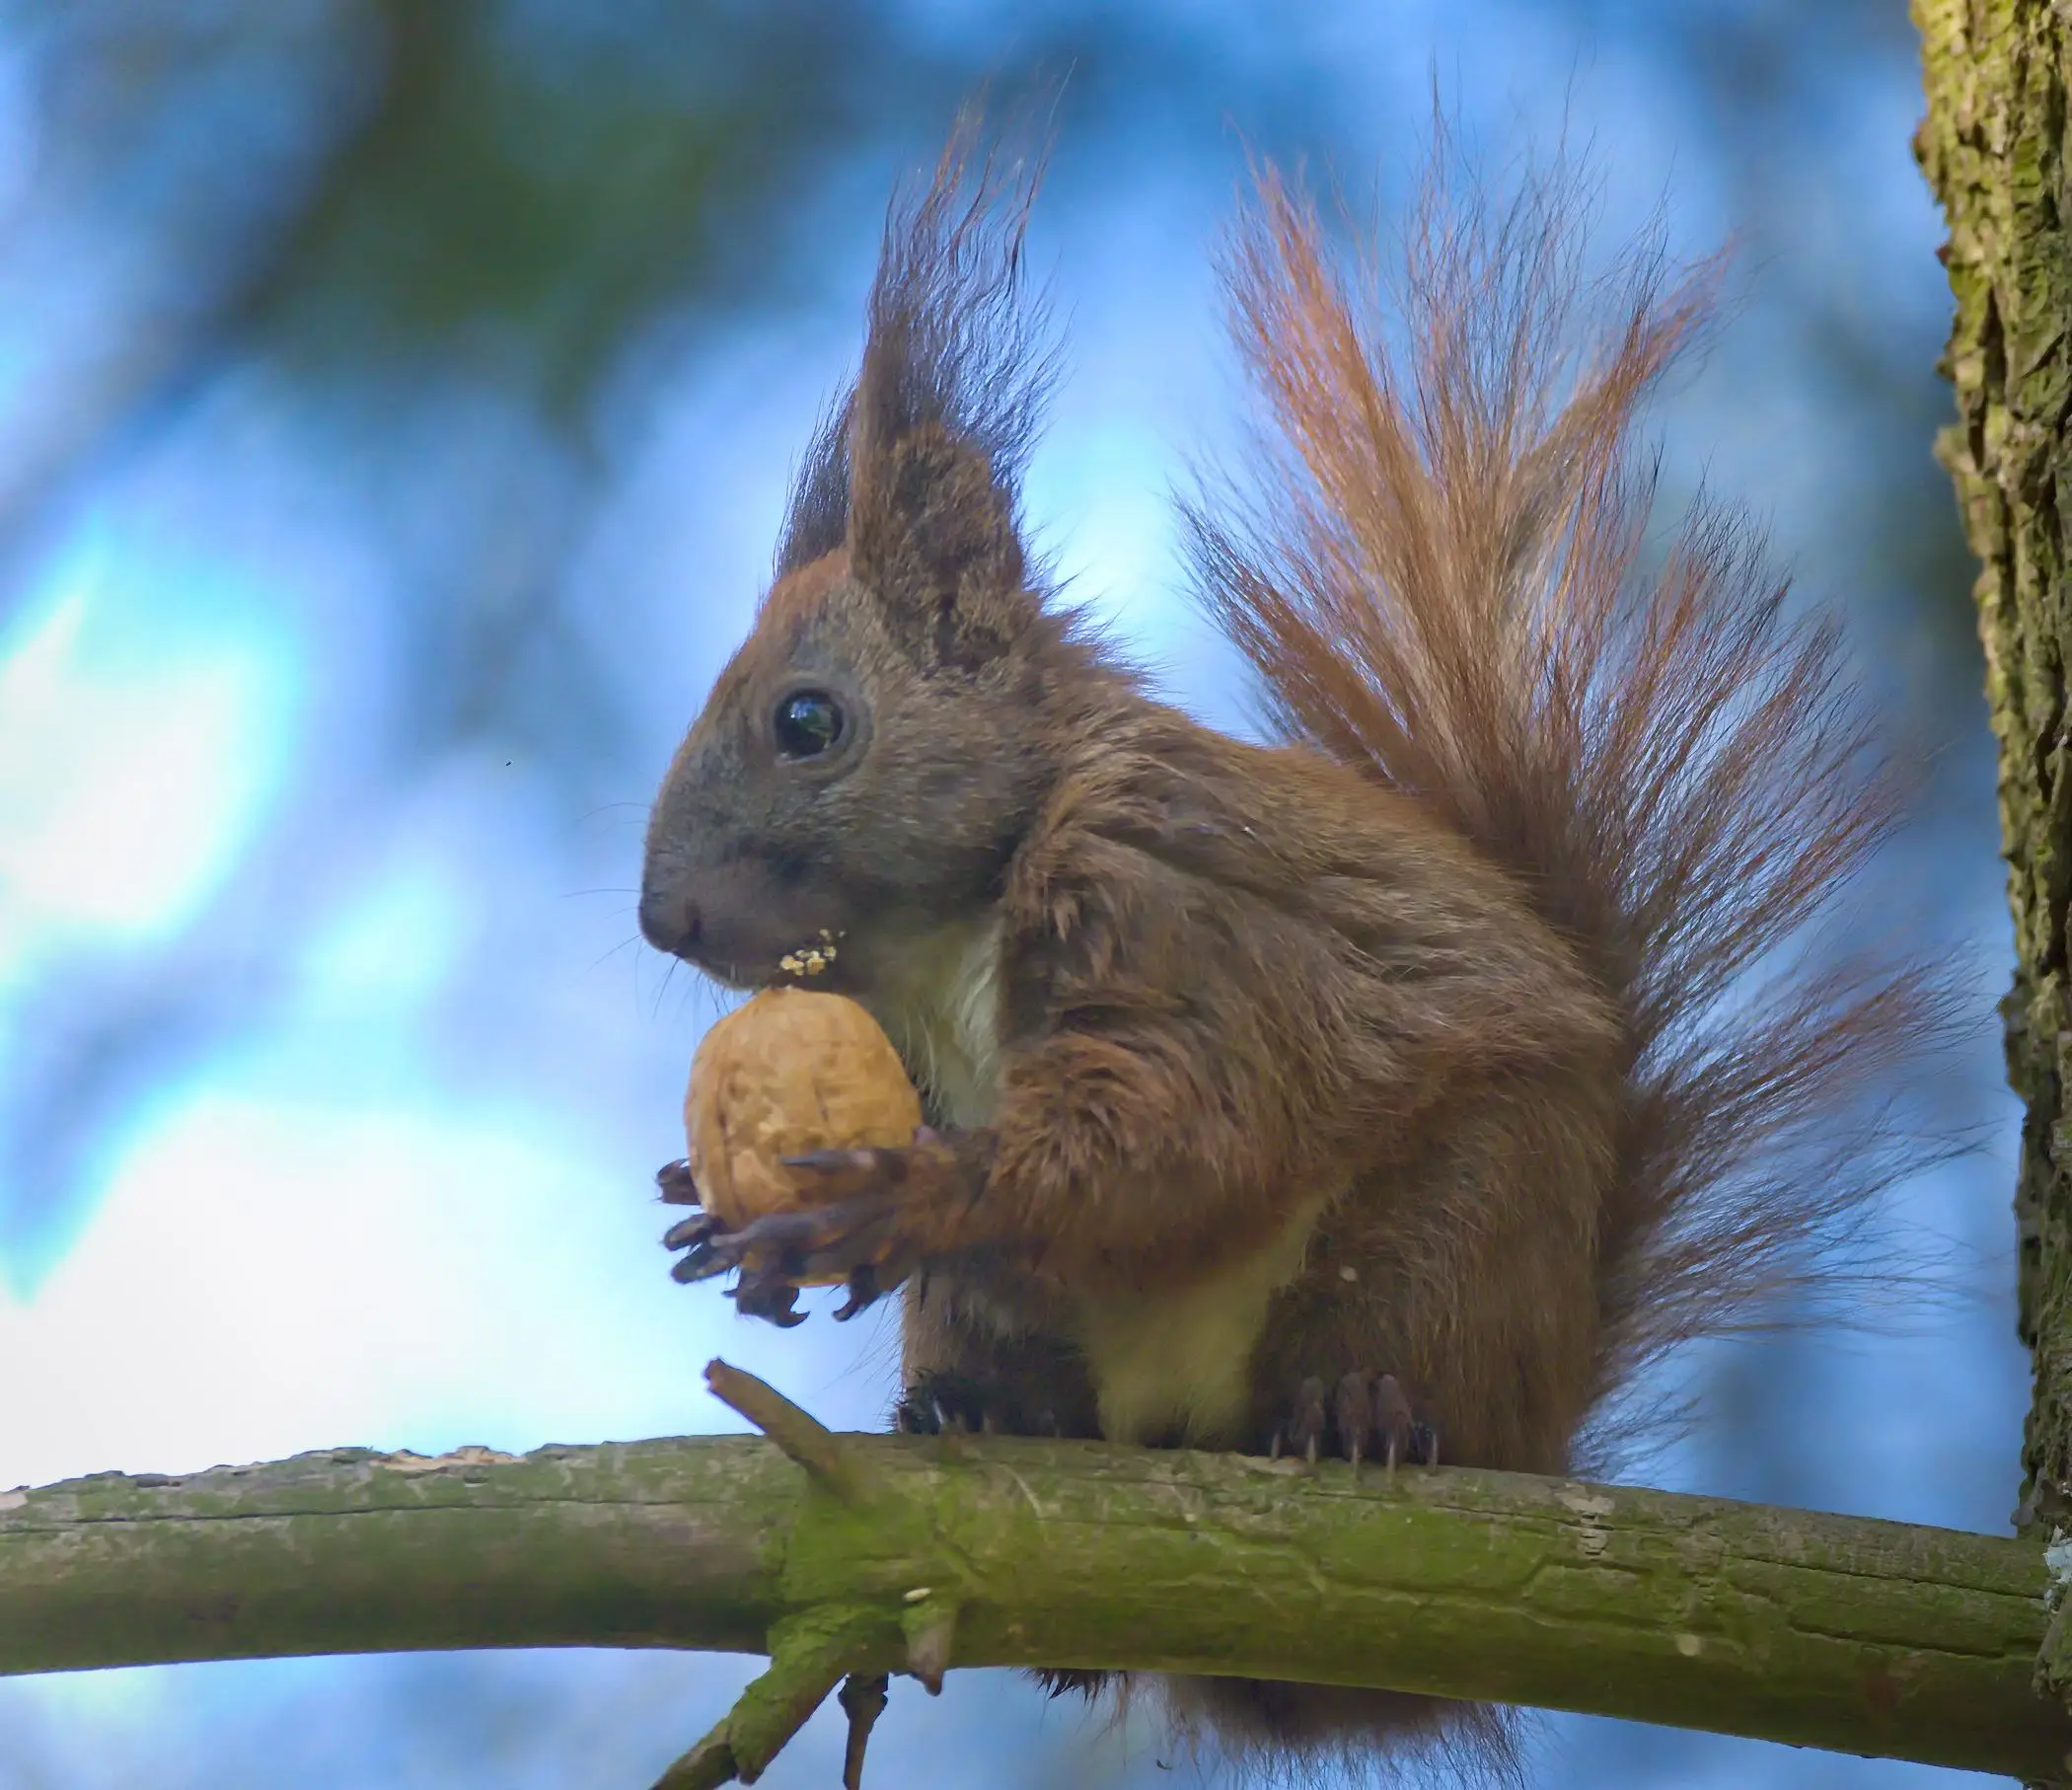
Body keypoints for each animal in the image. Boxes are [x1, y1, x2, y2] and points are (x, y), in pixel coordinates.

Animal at [629, 118, 1939, 1764]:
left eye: (807, 721)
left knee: (1387, 1329)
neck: (948, 928)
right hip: (1006, 1315)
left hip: (1465, 1229)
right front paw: (717, 1189)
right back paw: (983, 1413)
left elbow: (1186, 1128)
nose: (661, 915)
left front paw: (901, 1191)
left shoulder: (1178, 908)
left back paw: (1360, 1411)